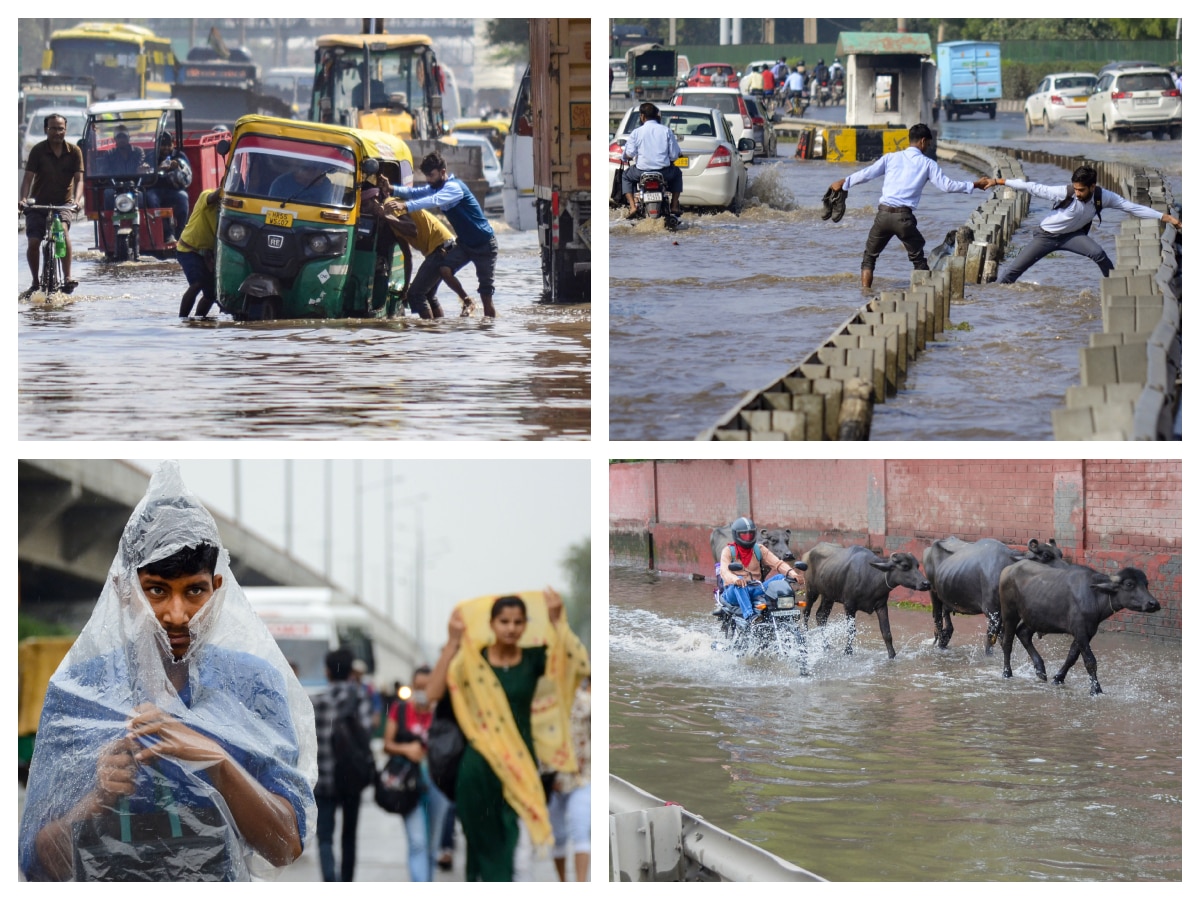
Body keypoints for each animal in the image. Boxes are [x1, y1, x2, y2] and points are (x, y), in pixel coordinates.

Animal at [801, 542, 931, 662]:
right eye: (905, 566)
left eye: (917, 565)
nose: (926, 583)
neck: (870, 577)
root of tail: (807, 553)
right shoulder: (849, 606)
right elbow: (851, 631)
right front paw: (848, 652)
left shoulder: (881, 606)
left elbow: (887, 633)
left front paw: (892, 656)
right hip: (811, 590)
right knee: (806, 612)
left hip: (828, 596)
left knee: (821, 616)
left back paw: (826, 646)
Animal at [921, 535, 1065, 657]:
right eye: (1046, 555)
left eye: (1060, 554)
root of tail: (928, 549)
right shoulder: (992, 613)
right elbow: (991, 639)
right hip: (933, 594)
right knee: (938, 621)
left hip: (947, 598)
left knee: (947, 623)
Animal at [993, 564, 1161, 696]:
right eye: (1129, 584)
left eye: (1146, 584)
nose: (1153, 603)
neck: (1094, 595)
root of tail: (1007, 569)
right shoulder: (1080, 631)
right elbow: (1090, 661)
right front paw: (1096, 689)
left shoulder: (1087, 632)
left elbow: (1072, 656)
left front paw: (1058, 678)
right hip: (1009, 613)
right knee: (1007, 642)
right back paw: (1007, 673)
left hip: (1034, 617)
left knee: (1023, 633)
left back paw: (1040, 670)